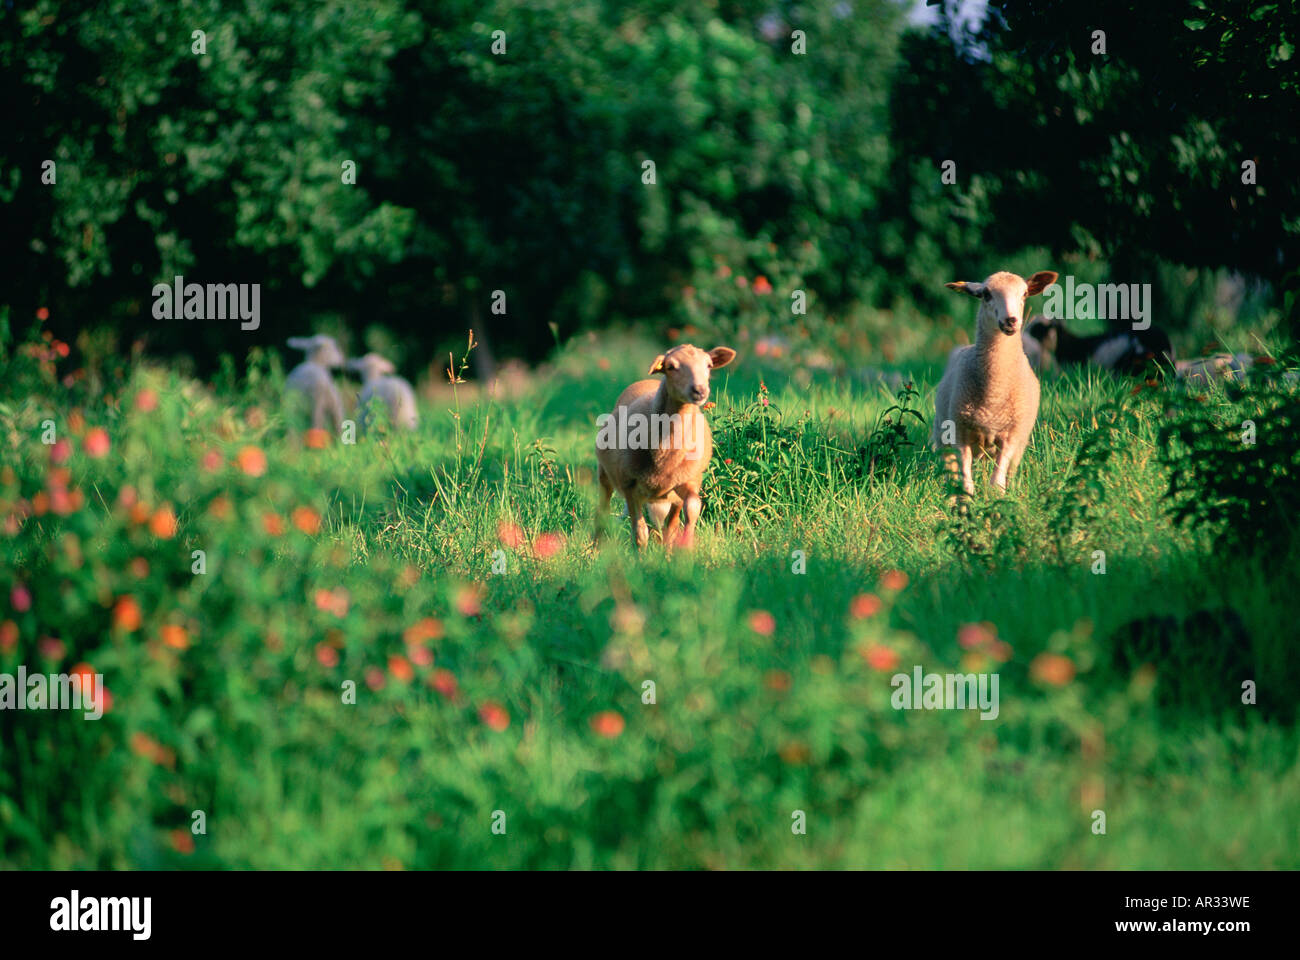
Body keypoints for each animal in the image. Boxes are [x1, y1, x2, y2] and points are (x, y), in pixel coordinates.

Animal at [595, 343, 736, 550]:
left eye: (709, 365)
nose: (700, 390)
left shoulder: (689, 480)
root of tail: (647, 382)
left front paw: (686, 546)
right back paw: (594, 549)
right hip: (605, 475)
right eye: (671, 367)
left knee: (670, 527)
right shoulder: (630, 486)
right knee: (603, 511)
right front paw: (640, 556)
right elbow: (640, 533)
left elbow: (692, 508)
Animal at [931, 270, 1058, 495]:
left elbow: (996, 483)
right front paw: (967, 499)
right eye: (986, 294)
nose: (1011, 320)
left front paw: (997, 498)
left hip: (1018, 444)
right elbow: (966, 482)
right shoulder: (960, 434)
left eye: (1024, 294)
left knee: (1010, 472)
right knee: (950, 470)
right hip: (943, 433)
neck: (994, 395)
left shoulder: (1011, 436)